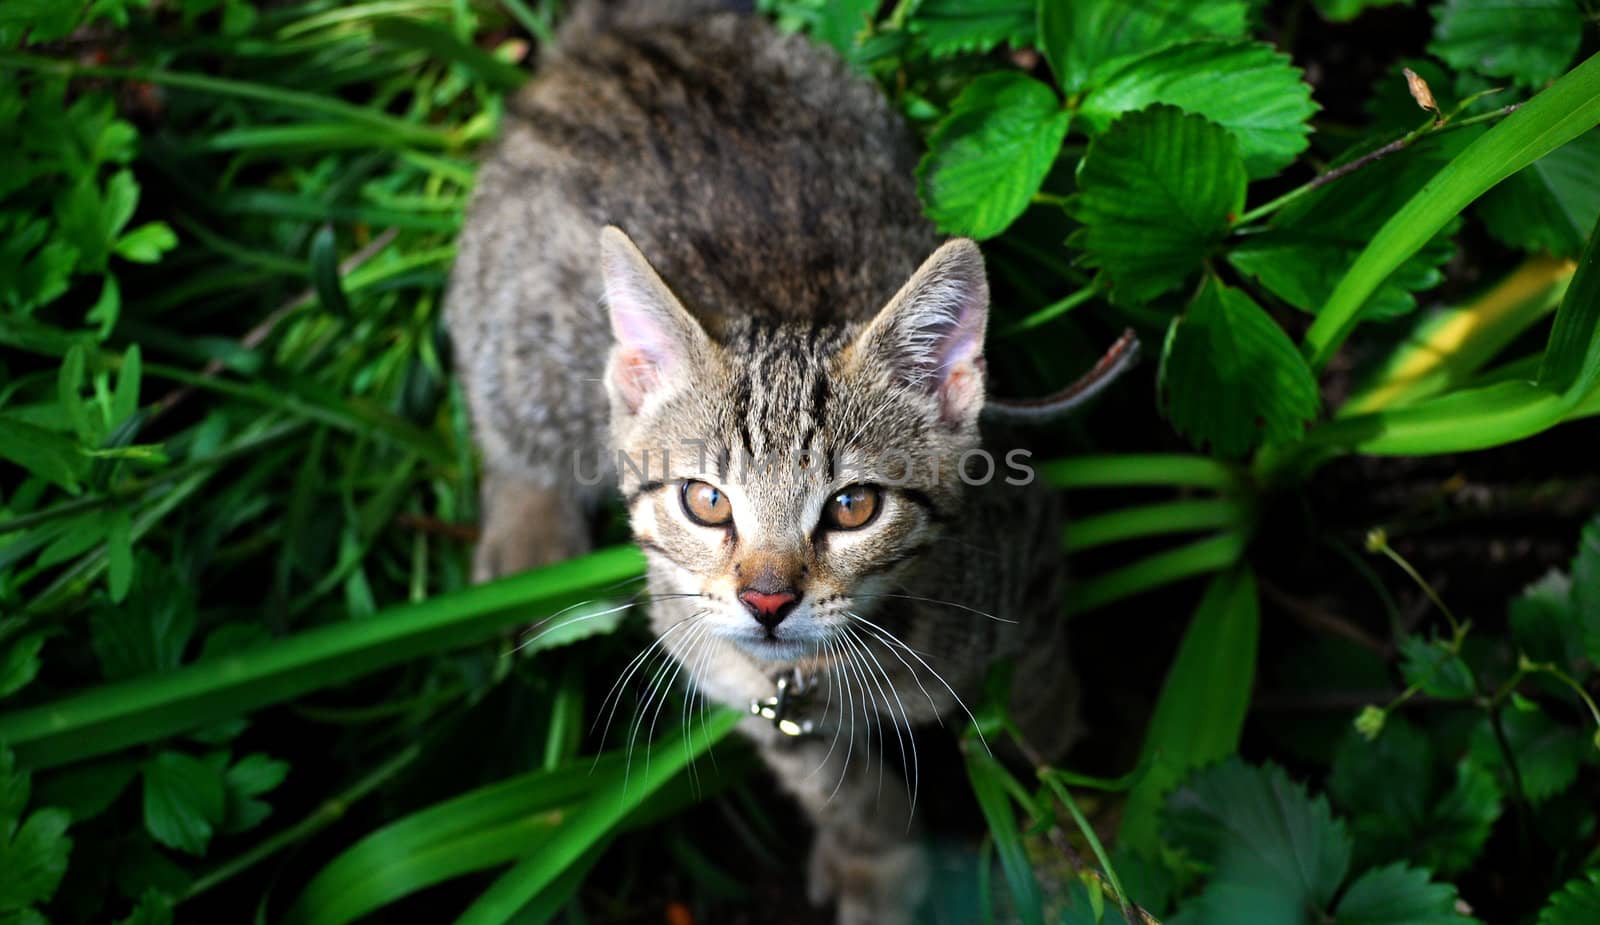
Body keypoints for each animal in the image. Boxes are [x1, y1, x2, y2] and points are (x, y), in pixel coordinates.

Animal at [444, 3, 1081, 915]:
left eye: (853, 506)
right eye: (706, 501)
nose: (767, 600)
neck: (823, 674)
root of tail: (633, 25)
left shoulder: (1028, 534)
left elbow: (1039, 682)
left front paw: (1066, 787)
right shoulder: (722, 669)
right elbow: (826, 779)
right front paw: (872, 854)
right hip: (522, 322)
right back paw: (529, 541)